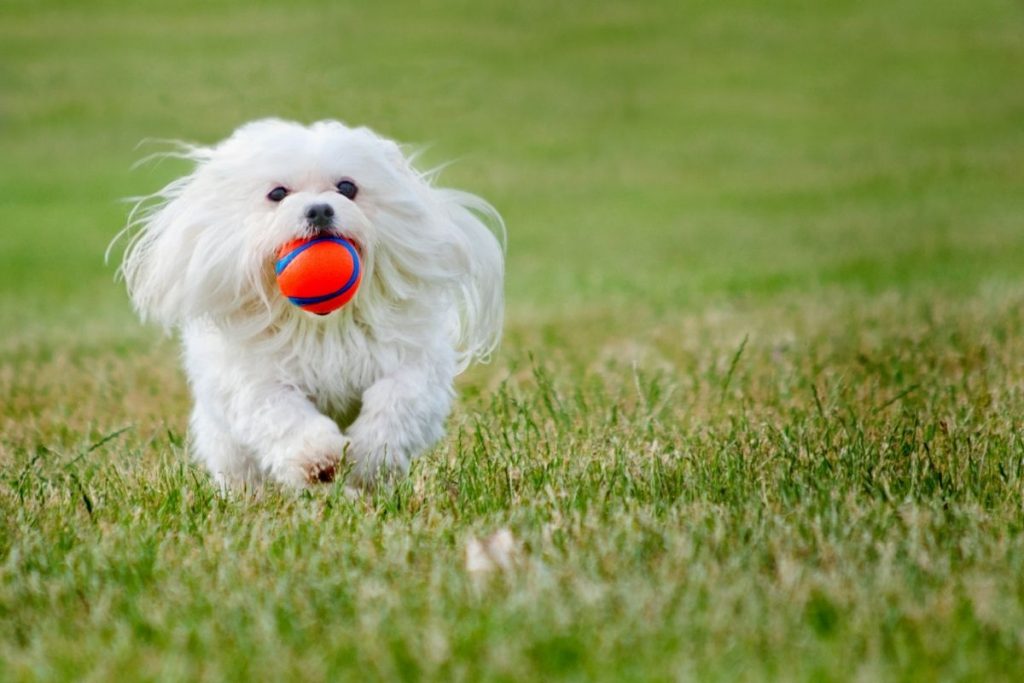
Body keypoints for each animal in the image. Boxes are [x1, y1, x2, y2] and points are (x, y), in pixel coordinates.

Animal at [116, 118, 503, 491]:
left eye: (347, 187)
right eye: (277, 193)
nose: (318, 209)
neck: (322, 322)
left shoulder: (411, 364)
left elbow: (395, 401)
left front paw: (370, 457)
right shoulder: (257, 380)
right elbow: (284, 415)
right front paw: (318, 459)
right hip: (228, 446)